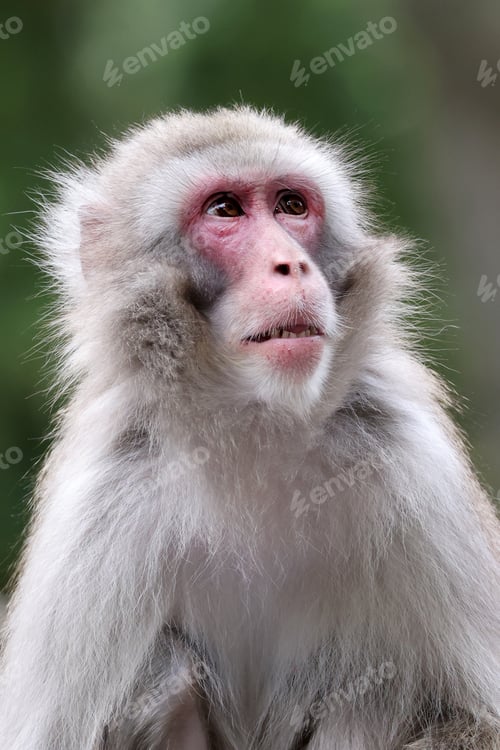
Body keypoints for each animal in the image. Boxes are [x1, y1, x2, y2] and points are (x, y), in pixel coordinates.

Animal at [0, 106, 498, 750]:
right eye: (225, 210)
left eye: (291, 205)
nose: (293, 264)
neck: (254, 427)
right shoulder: (101, 506)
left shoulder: (415, 462)